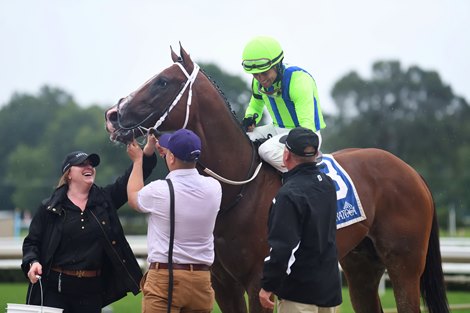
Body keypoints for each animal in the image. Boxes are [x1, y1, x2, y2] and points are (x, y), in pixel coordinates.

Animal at [104, 44, 450, 312]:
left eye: (162, 82)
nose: (112, 115)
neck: (237, 192)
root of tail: (411, 172)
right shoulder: (223, 284)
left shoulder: (259, 281)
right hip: (361, 265)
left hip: (405, 264)